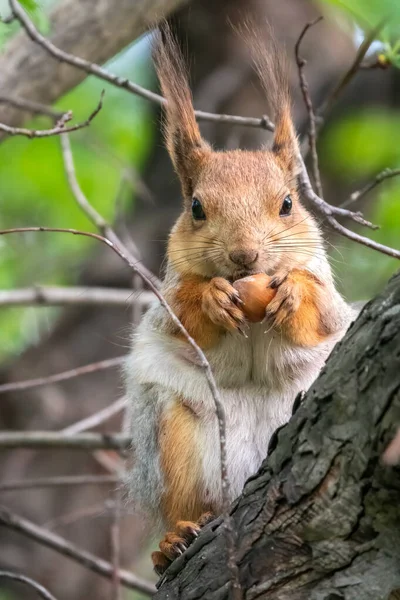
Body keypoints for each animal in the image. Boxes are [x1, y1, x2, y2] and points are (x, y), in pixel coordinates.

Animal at [125, 24, 356, 576]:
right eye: (196, 208)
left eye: (289, 204)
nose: (244, 255)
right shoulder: (166, 298)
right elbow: (180, 311)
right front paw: (211, 299)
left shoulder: (331, 297)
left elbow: (320, 313)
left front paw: (293, 292)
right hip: (172, 435)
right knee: (185, 503)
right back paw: (175, 541)